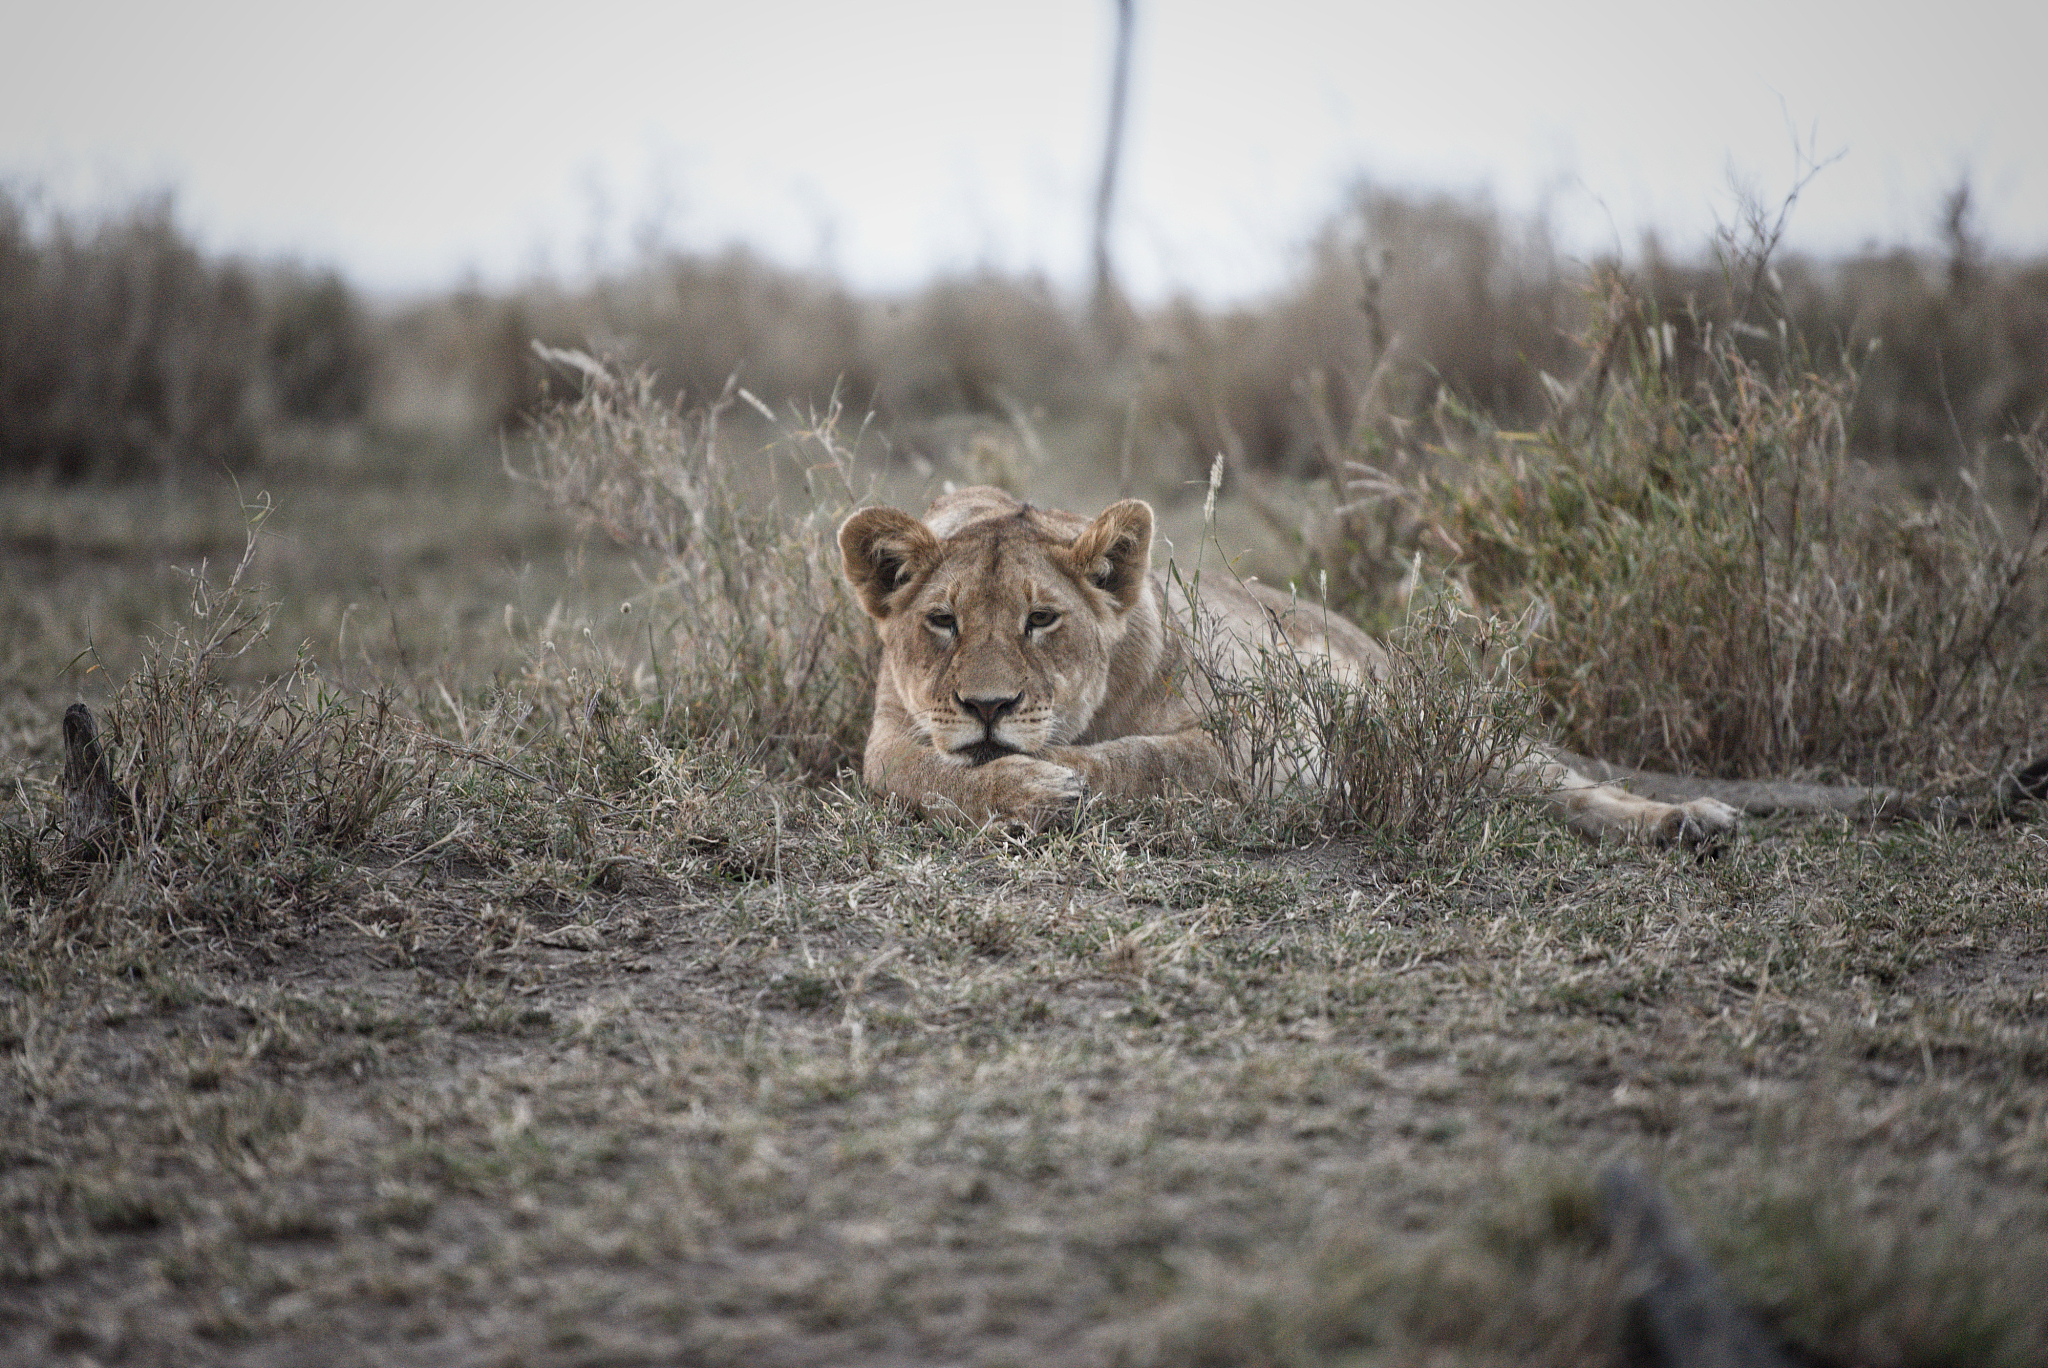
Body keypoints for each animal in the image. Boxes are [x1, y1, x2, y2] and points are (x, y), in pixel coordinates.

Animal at [838, 486, 1764, 844]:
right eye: (943, 621)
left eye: (1042, 619)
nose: (988, 707)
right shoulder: (885, 738)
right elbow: (922, 775)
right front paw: (1021, 784)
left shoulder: (1250, 736)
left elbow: (1141, 760)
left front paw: (1055, 779)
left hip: (1451, 733)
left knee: (1568, 786)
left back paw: (1690, 820)